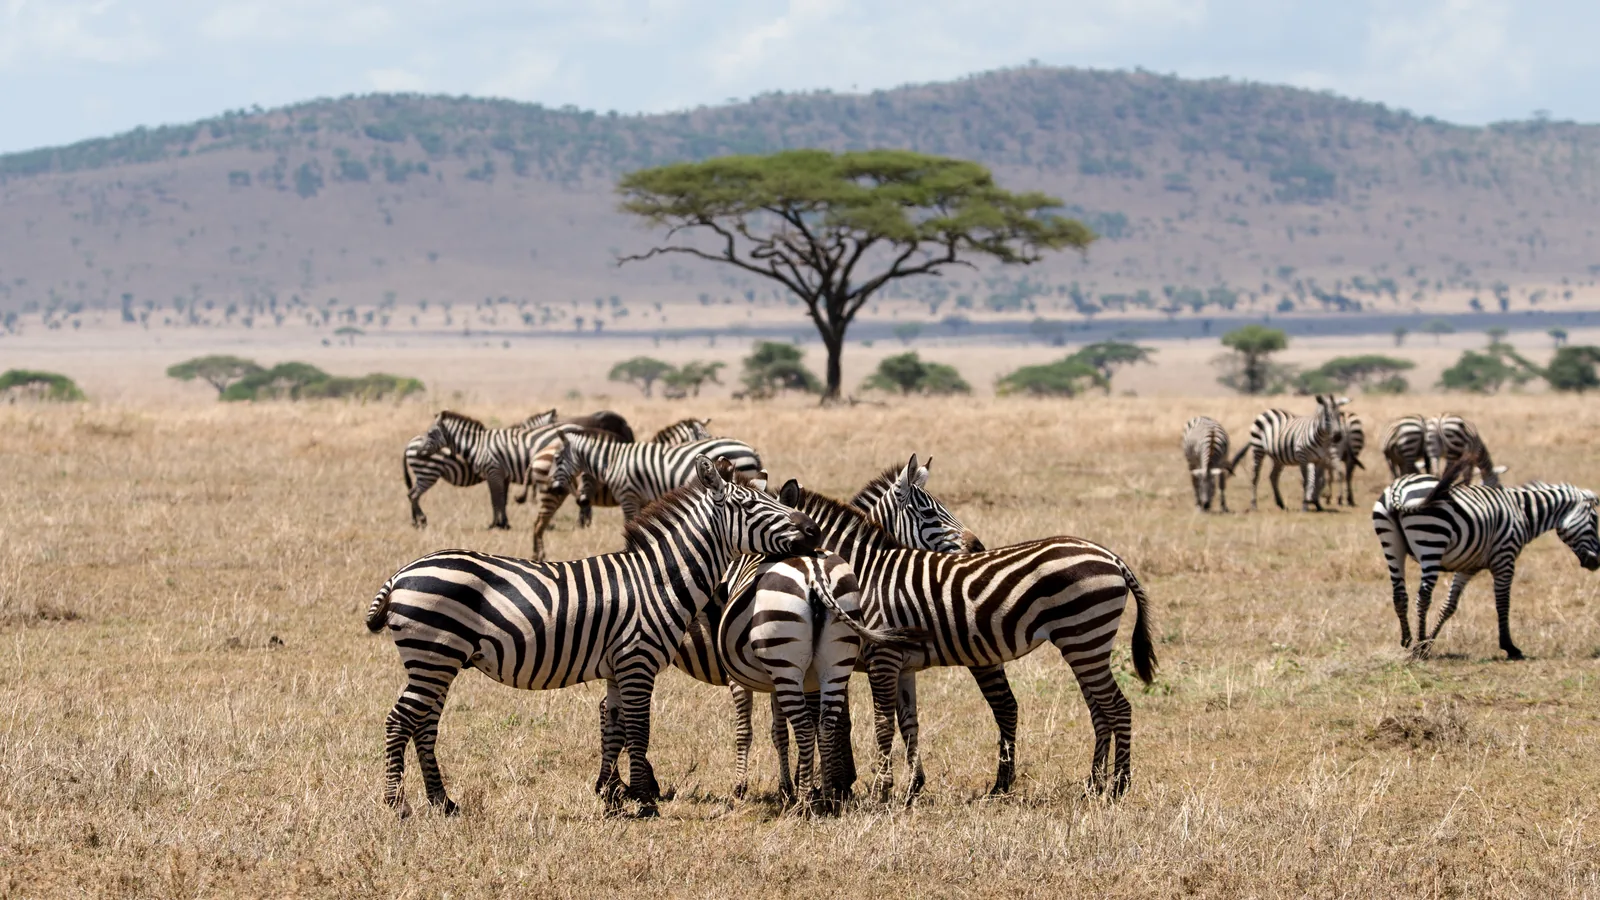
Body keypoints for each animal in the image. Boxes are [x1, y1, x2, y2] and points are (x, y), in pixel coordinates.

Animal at [366, 455, 822, 818]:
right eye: (749, 505)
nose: (813, 531)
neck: (658, 580)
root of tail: (402, 573)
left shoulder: (618, 668)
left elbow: (616, 728)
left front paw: (614, 797)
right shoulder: (637, 661)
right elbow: (639, 729)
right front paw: (645, 802)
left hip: (438, 661)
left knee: (424, 724)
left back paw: (442, 801)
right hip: (432, 657)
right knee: (399, 720)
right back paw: (396, 804)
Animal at [402, 409, 558, 528]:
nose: (419, 452)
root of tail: (409, 444)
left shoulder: (503, 476)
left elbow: (503, 499)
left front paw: (504, 523)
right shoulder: (495, 473)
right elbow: (497, 499)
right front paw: (499, 524)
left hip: (425, 474)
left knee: (411, 494)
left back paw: (416, 522)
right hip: (428, 473)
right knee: (413, 495)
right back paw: (421, 521)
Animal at [777, 481, 1157, 800]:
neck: (866, 576)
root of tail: (1111, 558)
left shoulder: (881, 657)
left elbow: (878, 723)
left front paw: (874, 789)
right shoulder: (899, 663)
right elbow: (907, 722)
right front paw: (908, 788)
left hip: (1085, 637)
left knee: (1118, 707)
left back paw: (1119, 786)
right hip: (1084, 643)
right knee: (1100, 711)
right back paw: (1093, 784)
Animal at [1372, 461, 1599, 659]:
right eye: (1595, 520)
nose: (1596, 563)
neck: (1523, 514)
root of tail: (1399, 488)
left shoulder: (1467, 566)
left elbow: (1449, 606)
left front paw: (1430, 642)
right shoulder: (1505, 559)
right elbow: (1503, 603)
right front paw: (1510, 647)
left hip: (1391, 544)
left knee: (1399, 595)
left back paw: (1408, 640)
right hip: (1432, 540)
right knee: (1424, 596)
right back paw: (1418, 645)